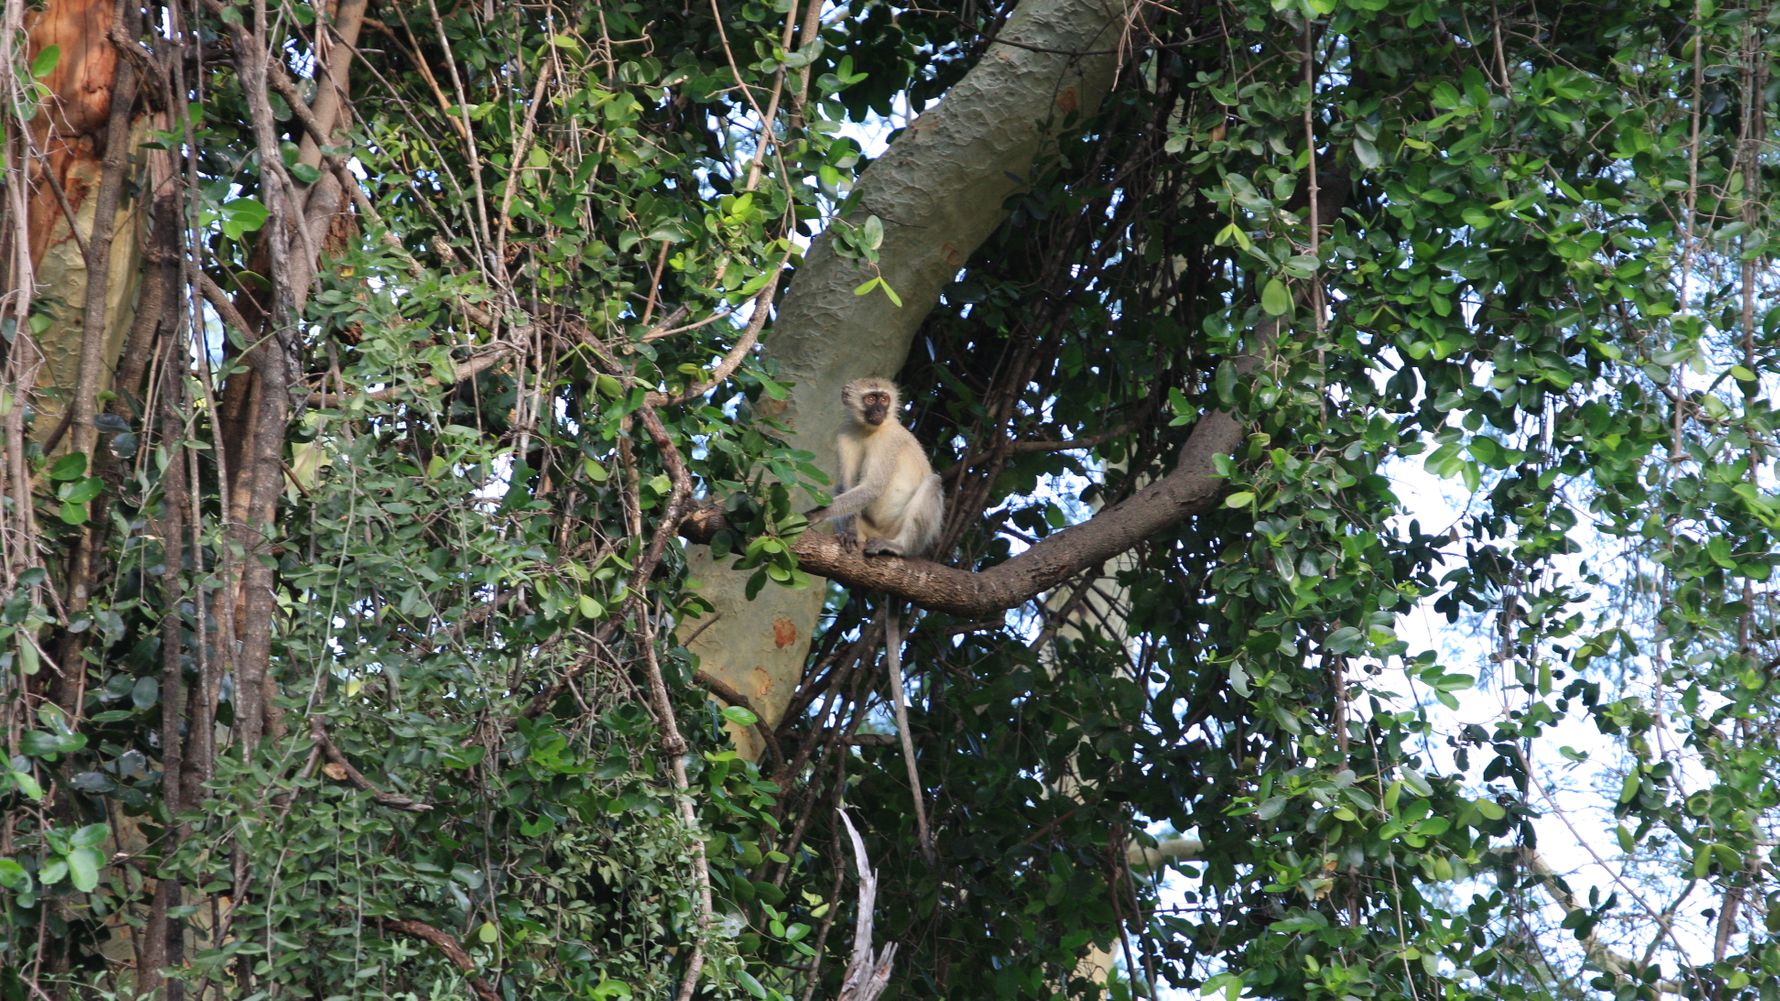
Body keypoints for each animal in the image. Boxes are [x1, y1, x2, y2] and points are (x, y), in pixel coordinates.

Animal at [807, 377, 944, 860]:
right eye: (870, 399)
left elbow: (868, 486)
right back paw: (850, 537)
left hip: (912, 532)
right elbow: (846, 486)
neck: (870, 431)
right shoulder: (845, 435)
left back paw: (896, 550)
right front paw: (835, 522)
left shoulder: (889, 440)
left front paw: (812, 515)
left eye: (884, 399)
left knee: (932, 484)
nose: (881, 409)